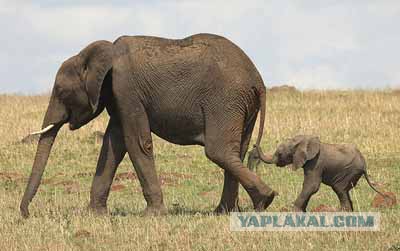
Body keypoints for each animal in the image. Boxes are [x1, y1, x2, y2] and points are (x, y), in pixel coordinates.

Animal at [19, 33, 276, 218]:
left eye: (61, 92)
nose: (26, 214)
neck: (100, 54)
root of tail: (258, 81)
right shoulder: (117, 98)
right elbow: (112, 147)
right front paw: (95, 215)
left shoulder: (126, 89)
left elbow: (137, 143)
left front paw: (151, 215)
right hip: (241, 105)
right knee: (236, 152)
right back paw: (228, 211)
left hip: (225, 101)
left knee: (218, 151)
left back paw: (265, 199)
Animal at [248, 135, 386, 212]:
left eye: (280, 154)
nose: (254, 144)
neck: (302, 141)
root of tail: (364, 165)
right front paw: (302, 211)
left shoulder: (316, 163)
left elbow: (312, 186)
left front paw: (294, 211)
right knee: (344, 191)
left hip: (349, 171)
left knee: (339, 189)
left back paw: (342, 212)